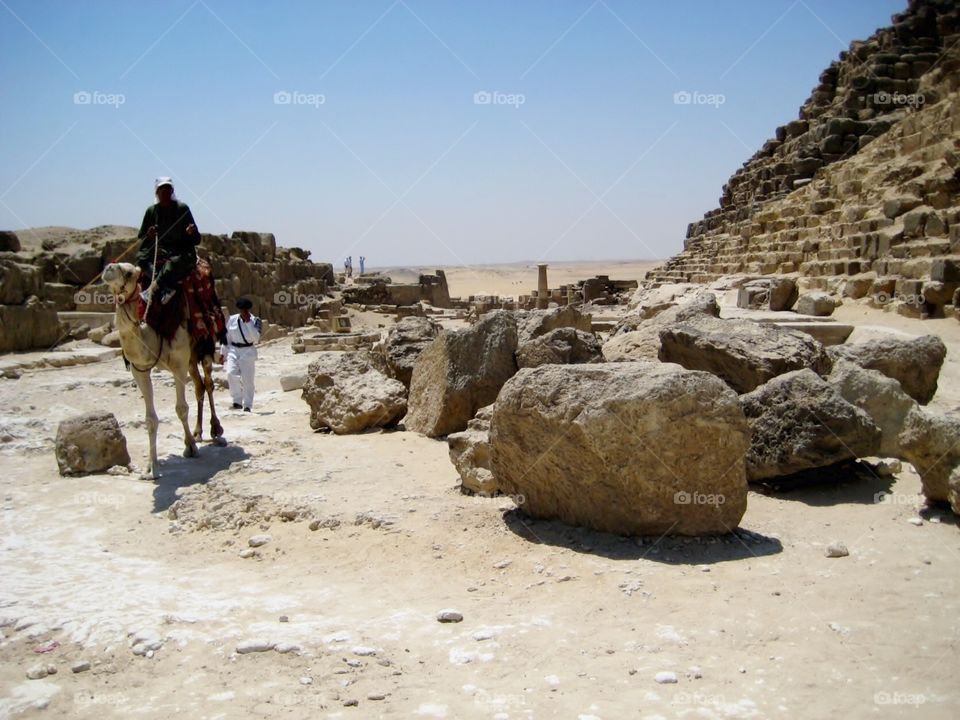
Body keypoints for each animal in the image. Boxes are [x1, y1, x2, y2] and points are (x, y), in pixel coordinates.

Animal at [102, 262, 224, 478]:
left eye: (129, 272)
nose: (108, 268)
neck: (150, 334)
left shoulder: (178, 363)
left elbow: (181, 408)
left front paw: (190, 448)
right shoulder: (139, 370)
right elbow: (150, 419)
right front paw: (152, 467)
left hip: (204, 347)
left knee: (209, 383)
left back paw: (215, 429)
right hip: (191, 359)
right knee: (199, 387)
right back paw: (198, 432)